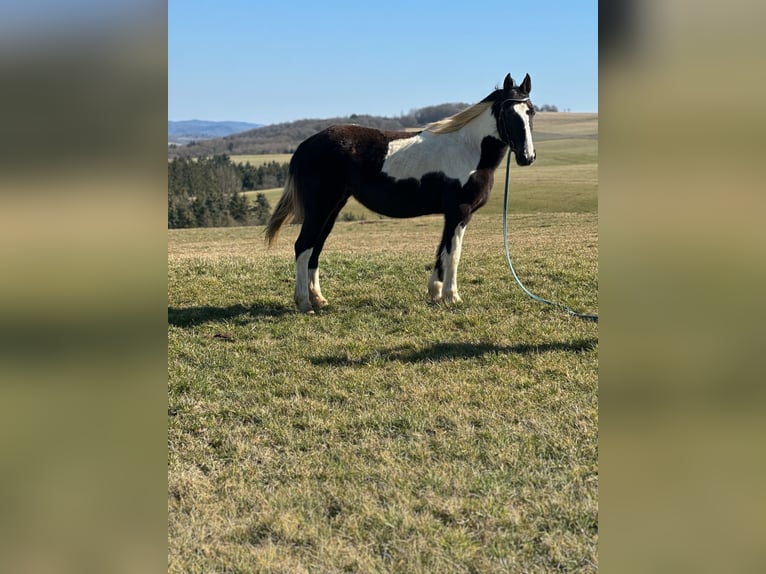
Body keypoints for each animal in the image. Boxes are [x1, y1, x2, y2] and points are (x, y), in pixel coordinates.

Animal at [268, 73, 536, 316]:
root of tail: (305, 145)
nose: (527, 157)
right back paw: (304, 303)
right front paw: (452, 297)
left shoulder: (450, 215)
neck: (468, 149)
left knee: (315, 248)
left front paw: (435, 292)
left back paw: (319, 300)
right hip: (319, 209)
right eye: (509, 113)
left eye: (530, 112)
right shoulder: (460, 212)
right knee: (303, 246)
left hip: (332, 210)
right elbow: (453, 254)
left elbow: (442, 252)